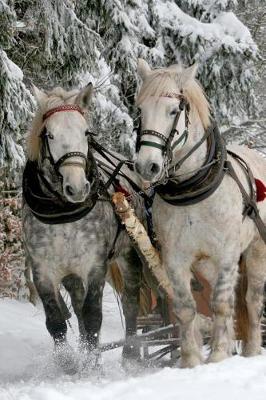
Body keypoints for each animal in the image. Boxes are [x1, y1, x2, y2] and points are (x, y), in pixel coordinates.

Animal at [22, 83, 143, 372]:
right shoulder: (43, 270)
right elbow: (56, 320)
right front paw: (69, 363)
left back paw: (130, 354)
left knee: (131, 301)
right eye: (50, 134)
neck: (62, 213)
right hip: (71, 273)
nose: (77, 188)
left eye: (86, 132)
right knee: (76, 305)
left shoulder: (95, 265)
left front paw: (90, 364)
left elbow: (93, 316)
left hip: (128, 254)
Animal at [134, 57, 266, 368]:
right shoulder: (175, 258)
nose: (147, 166)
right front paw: (191, 360)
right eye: (140, 110)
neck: (192, 190)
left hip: (256, 251)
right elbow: (185, 308)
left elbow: (221, 304)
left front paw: (217, 355)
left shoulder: (227, 253)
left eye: (173, 111)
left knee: (251, 301)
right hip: (206, 263)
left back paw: (251, 350)